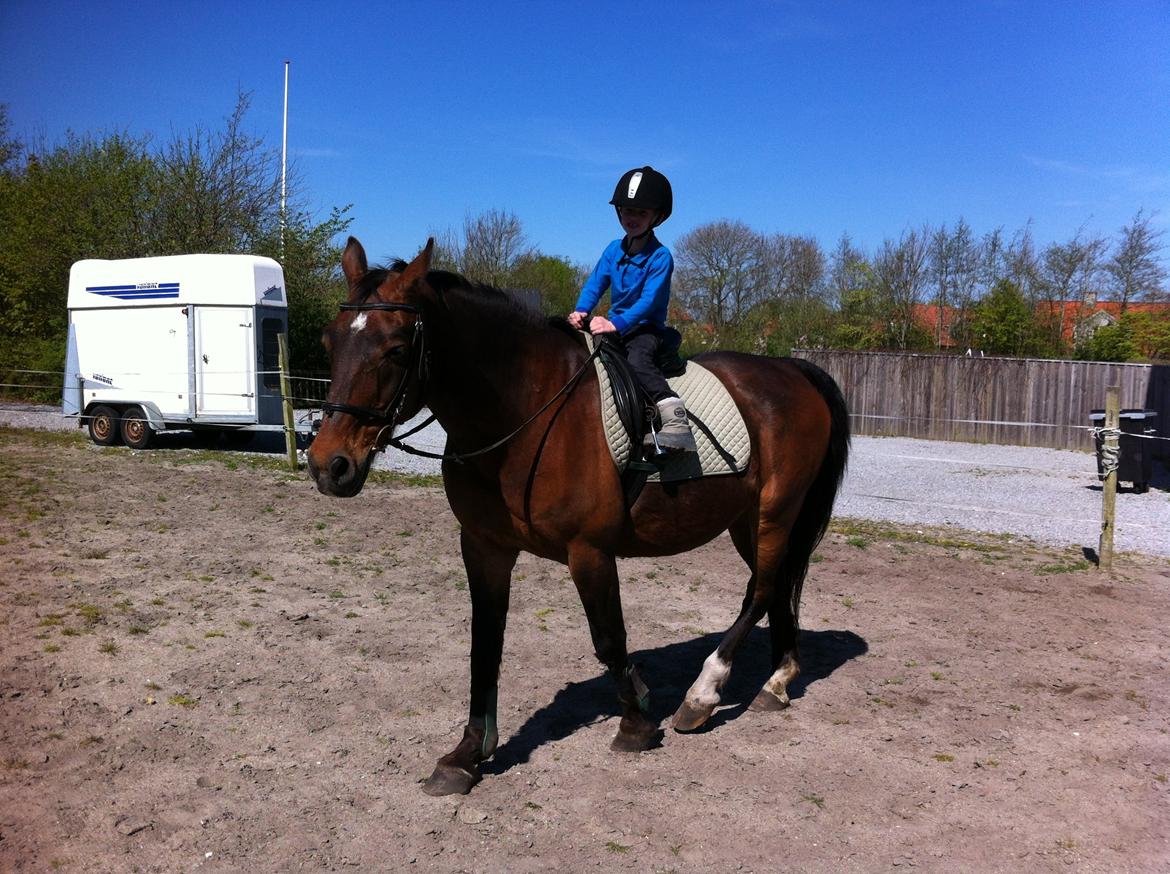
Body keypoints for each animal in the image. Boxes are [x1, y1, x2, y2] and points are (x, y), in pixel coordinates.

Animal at [308, 236, 851, 795]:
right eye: (330, 343)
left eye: (396, 349)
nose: (329, 465)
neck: (526, 415)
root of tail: (793, 370)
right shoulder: (483, 546)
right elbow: (485, 643)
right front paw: (467, 754)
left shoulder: (588, 551)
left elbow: (609, 638)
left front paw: (636, 722)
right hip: (747, 519)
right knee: (777, 585)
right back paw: (777, 681)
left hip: (774, 512)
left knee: (761, 590)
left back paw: (702, 694)